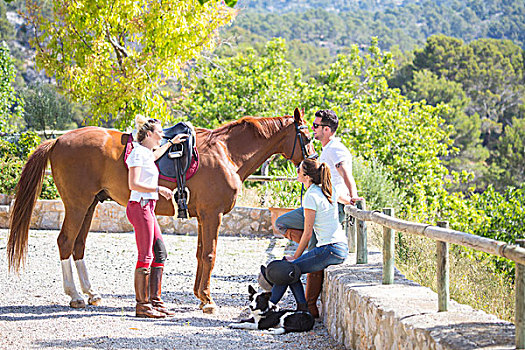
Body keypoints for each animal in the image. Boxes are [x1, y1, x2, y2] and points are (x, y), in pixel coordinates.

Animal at [7, 108, 312, 314]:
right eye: (306, 137)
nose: (313, 164)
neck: (226, 152)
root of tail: (58, 141)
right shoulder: (212, 215)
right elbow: (210, 255)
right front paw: (208, 301)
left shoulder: (203, 218)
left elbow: (201, 254)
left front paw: (199, 296)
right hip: (77, 204)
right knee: (65, 242)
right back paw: (75, 296)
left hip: (90, 204)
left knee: (78, 245)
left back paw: (91, 293)